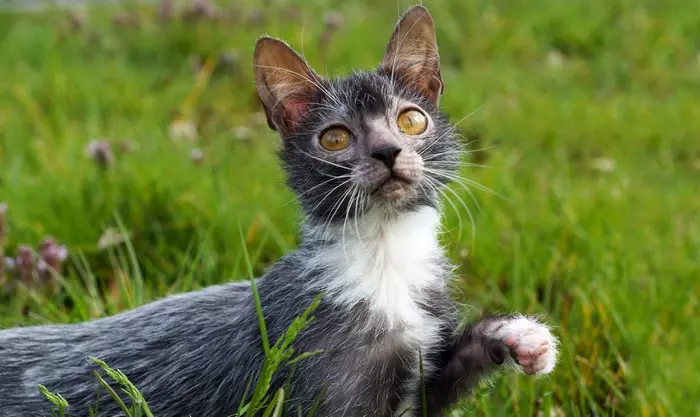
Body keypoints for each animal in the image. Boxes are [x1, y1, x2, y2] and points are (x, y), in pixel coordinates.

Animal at [0, 6, 556, 416]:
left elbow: (438, 386)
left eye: (412, 119)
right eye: (335, 137)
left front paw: (520, 336)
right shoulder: (315, 370)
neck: (383, 258)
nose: (388, 152)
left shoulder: (420, 363)